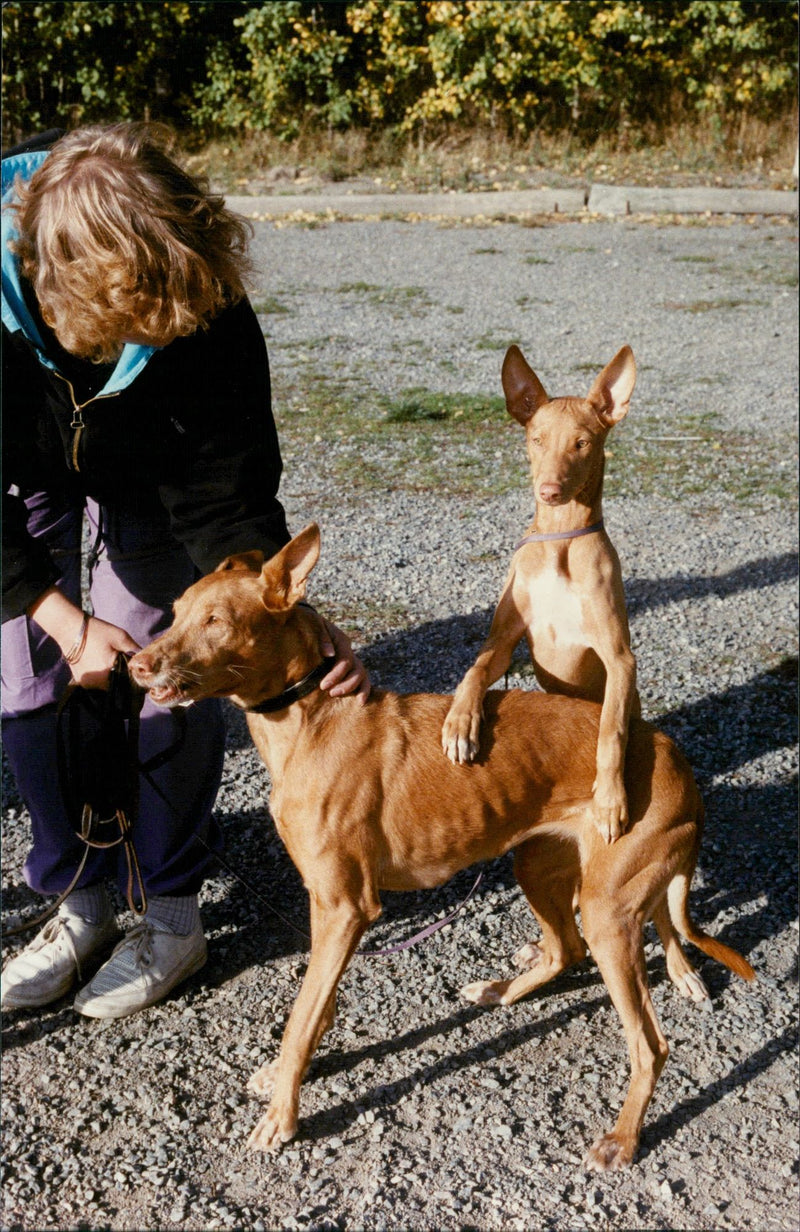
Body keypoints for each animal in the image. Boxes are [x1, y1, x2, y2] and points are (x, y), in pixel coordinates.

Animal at [129, 522, 754, 1172]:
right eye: (175, 612)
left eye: (216, 621)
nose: (134, 665)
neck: (308, 724)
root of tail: (673, 753)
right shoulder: (328, 909)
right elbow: (319, 1009)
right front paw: (286, 1077)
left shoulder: (346, 908)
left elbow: (300, 1018)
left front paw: (282, 1115)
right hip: (537, 864)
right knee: (567, 950)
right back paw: (502, 990)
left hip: (608, 908)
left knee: (649, 1043)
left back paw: (623, 1138)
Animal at [443, 347, 636, 847]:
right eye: (536, 438)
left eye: (582, 443)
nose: (549, 491)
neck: (560, 541)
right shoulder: (502, 641)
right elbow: (473, 672)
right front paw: (460, 723)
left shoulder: (619, 659)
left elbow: (610, 732)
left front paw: (610, 800)